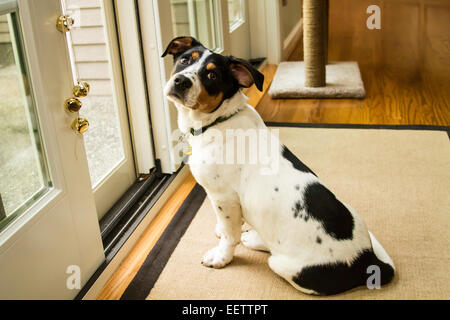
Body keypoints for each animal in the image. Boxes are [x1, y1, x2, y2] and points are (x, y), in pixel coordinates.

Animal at [162, 37, 394, 296]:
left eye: (212, 76)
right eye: (185, 60)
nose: (181, 81)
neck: (219, 121)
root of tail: (367, 260)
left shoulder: (223, 197)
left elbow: (230, 236)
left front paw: (222, 256)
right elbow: (229, 226)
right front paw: (225, 230)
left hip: (282, 264)